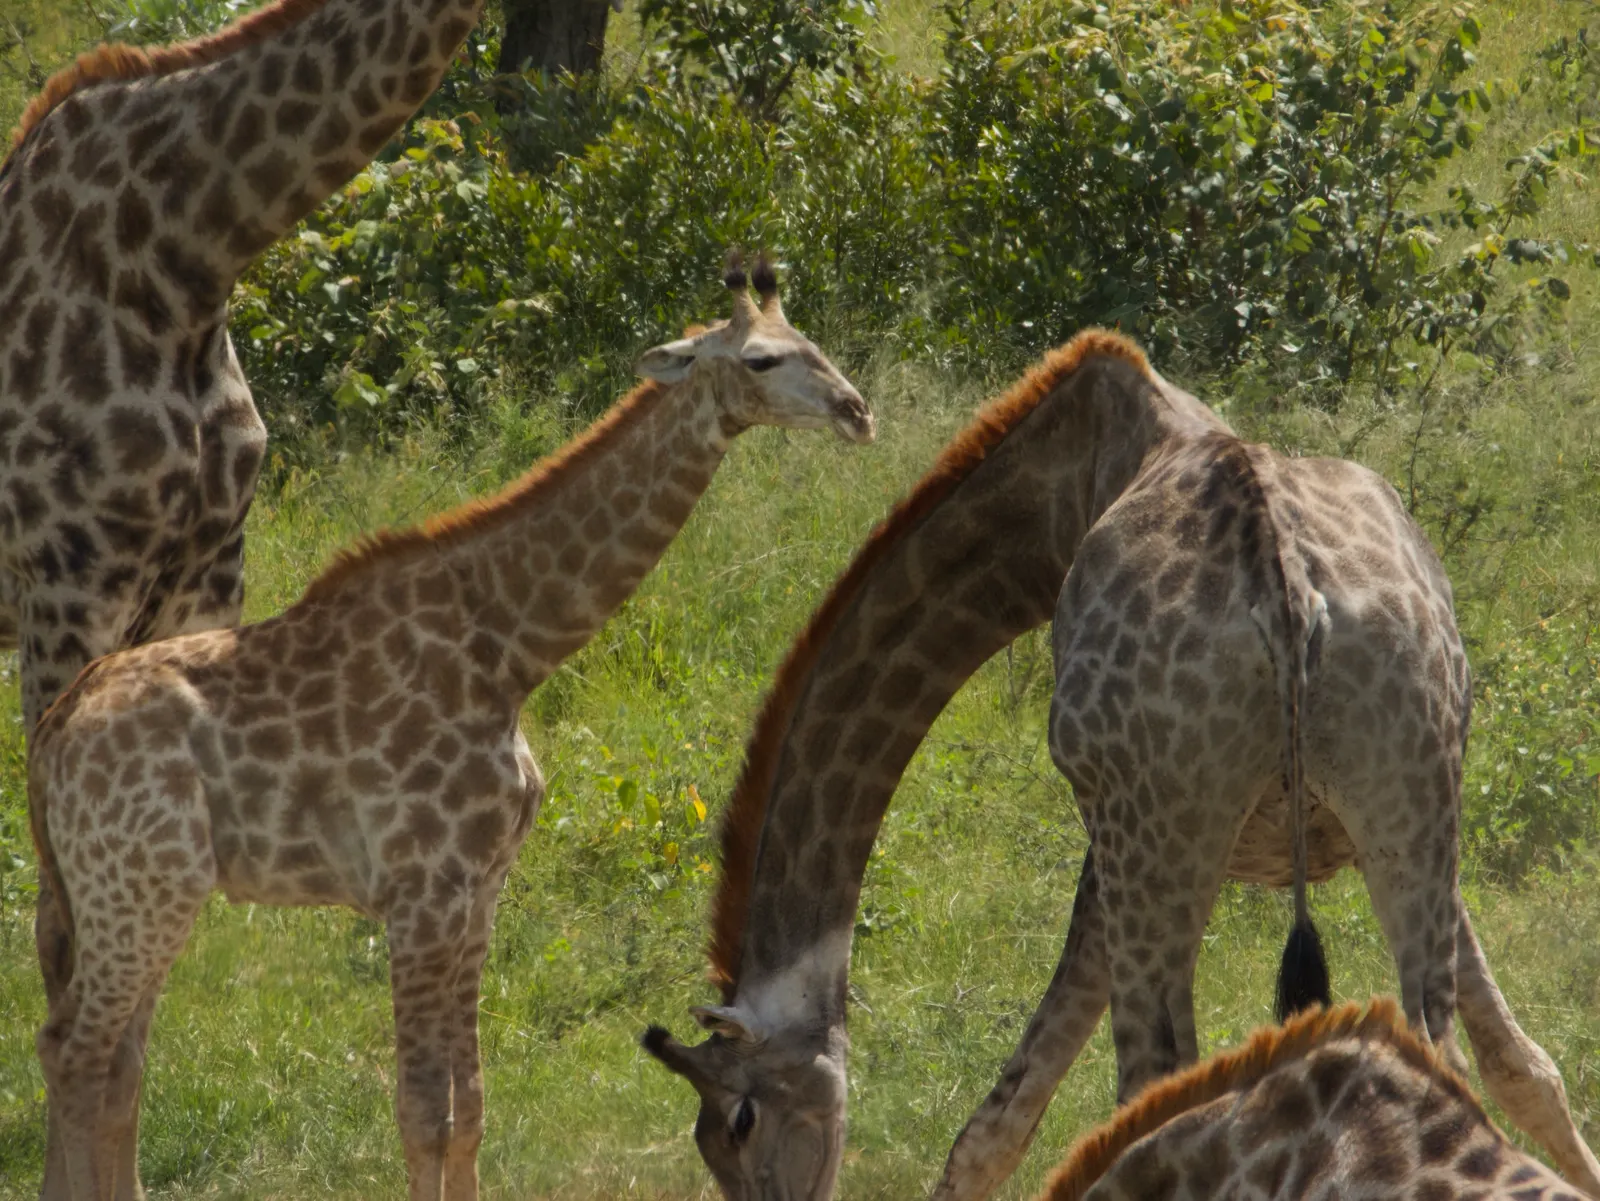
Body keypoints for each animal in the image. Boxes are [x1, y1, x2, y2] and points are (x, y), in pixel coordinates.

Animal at [26, 259, 874, 1201]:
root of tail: (54, 736)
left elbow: (470, 1103)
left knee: (111, 1057)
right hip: (141, 885)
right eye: (762, 359)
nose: (856, 411)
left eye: (811, 343)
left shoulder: (479, 891)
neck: (510, 647)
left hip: (133, 891)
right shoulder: (422, 892)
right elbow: (424, 1108)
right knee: (76, 1049)